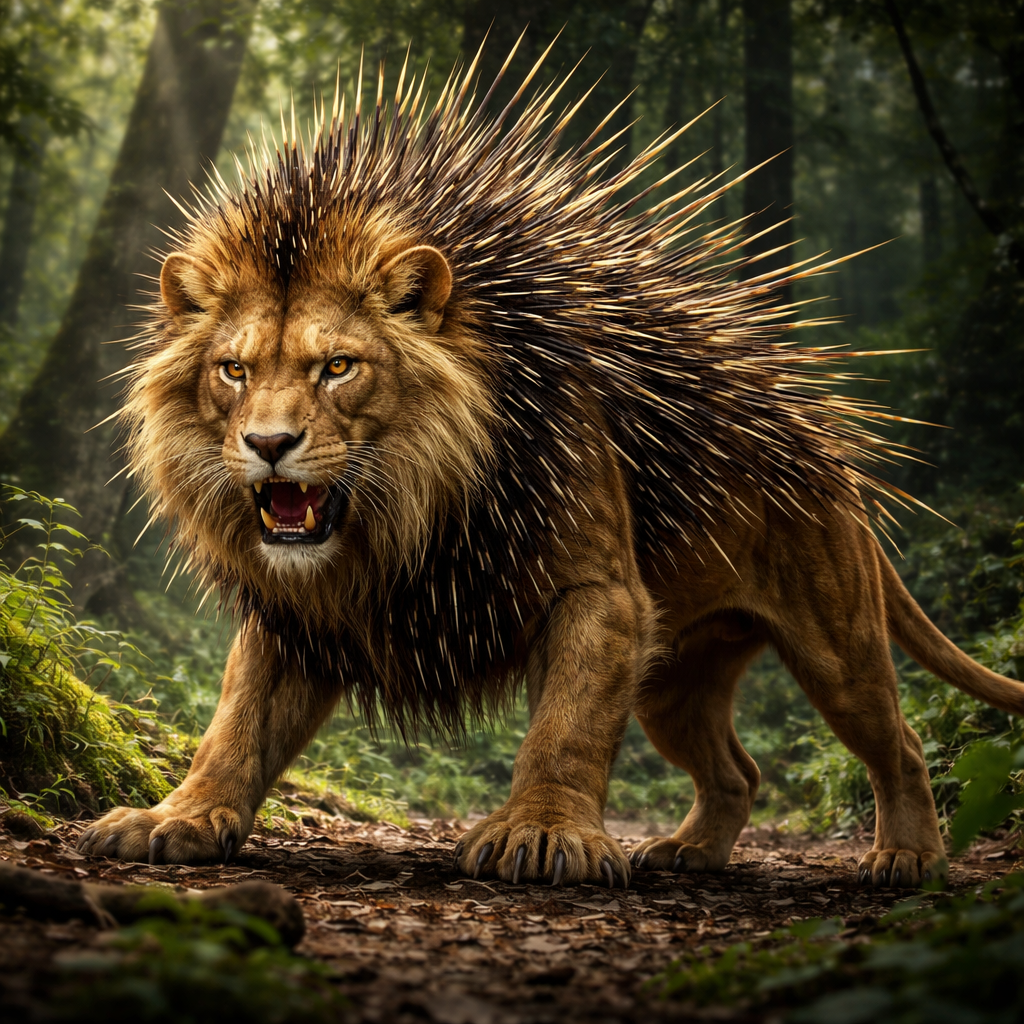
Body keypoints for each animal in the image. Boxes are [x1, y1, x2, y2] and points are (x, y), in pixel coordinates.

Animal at [76, 61, 1024, 890]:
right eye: (233, 371)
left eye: (338, 367)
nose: (269, 443)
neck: (402, 511)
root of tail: (828, 459)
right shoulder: (291, 612)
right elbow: (234, 724)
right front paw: (179, 817)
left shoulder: (600, 592)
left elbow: (566, 726)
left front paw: (540, 833)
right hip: (675, 680)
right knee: (739, 770)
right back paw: (690, 853)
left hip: (834, 645)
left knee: (899, 743)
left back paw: (907, 858)